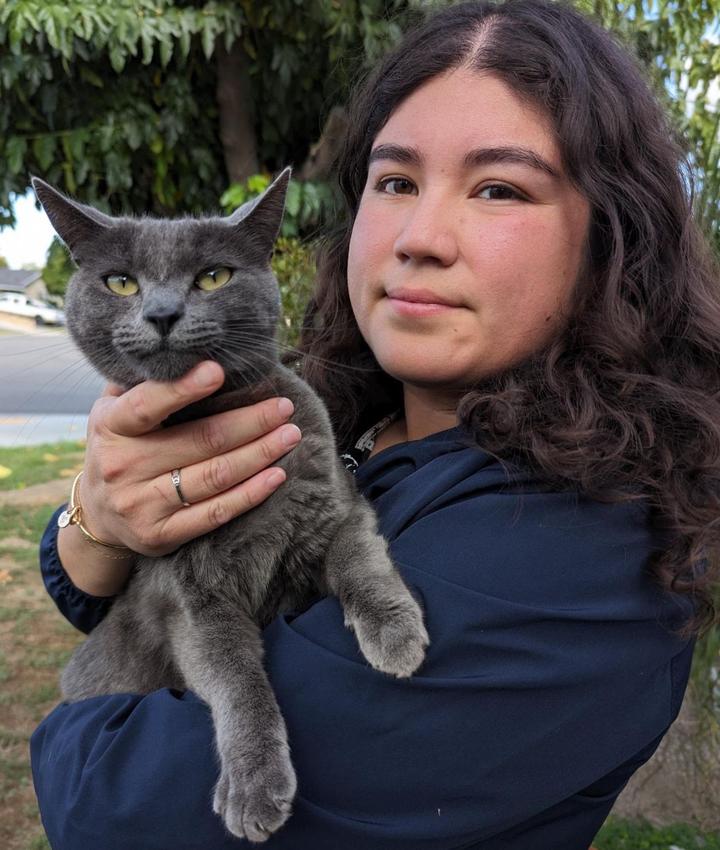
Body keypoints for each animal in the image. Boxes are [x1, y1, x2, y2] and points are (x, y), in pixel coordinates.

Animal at [33, 171, 428, 840]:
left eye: (214, 276)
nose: (162, 313)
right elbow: (235, 676)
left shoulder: (337, 505)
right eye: (121, 282)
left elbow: (360, 561)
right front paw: (254, 785)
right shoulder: (191, 597)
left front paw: (396, 634)